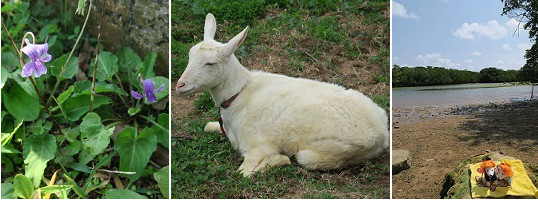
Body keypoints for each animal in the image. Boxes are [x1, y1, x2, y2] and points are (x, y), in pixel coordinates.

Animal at [177, 13, 390, 177]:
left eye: (210, 63)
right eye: (190, 55)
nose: (180, 85)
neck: (239, 95)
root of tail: (382, 133)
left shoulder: (258, 146)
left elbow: (244, 173)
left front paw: (280, 159)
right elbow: (206, 126)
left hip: (330, 151)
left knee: (305, 158)